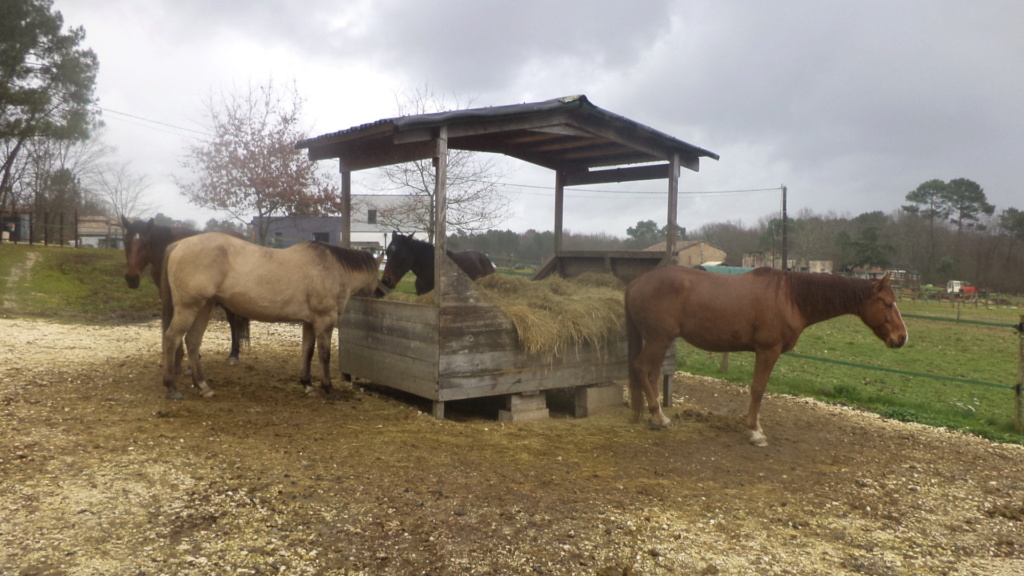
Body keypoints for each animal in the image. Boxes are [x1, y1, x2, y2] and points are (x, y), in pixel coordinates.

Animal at [120, 215, 250, 362]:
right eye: (125, 242)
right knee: (232, 320)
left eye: (146, 244)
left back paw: (234, 355)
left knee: (236, 321)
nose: (131, 278)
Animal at [159, 231, 385, 399]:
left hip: (204, 306)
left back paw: (203, 386)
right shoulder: (324, 320)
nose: (381, 292)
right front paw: (328, 388)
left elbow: (307, 351)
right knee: (172, 338)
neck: (331, 269)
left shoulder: (308, 322)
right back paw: (171, 387)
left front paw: (308, 385)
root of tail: (178, 244)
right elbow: (324, 354)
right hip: (189, 306)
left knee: (192, 341)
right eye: (377, 273)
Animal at [622, 264, 905, 444]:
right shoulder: (768, 351)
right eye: (888, 303)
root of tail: (635, 283)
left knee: (651, 373)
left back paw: (656, 417)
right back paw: (659, 416)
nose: (902, 338)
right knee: (641, 368)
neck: (790, 298)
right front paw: (755, 432)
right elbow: (758, 389)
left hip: (659, 340)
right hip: (659, 339)